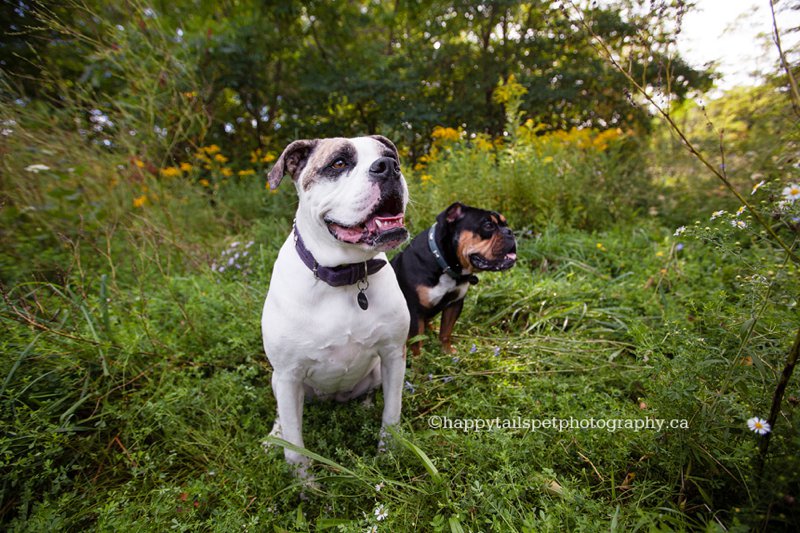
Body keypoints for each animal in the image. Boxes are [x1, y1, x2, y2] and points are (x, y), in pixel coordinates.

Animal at [390, 201, 516, 354]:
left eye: (506, 223)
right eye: (488, 225)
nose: (510, 231)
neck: (445, 265)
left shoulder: (455, 304)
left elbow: (446, 332)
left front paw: (448, 353)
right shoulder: (414, 311)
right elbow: (417, 343)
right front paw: (419, 359)